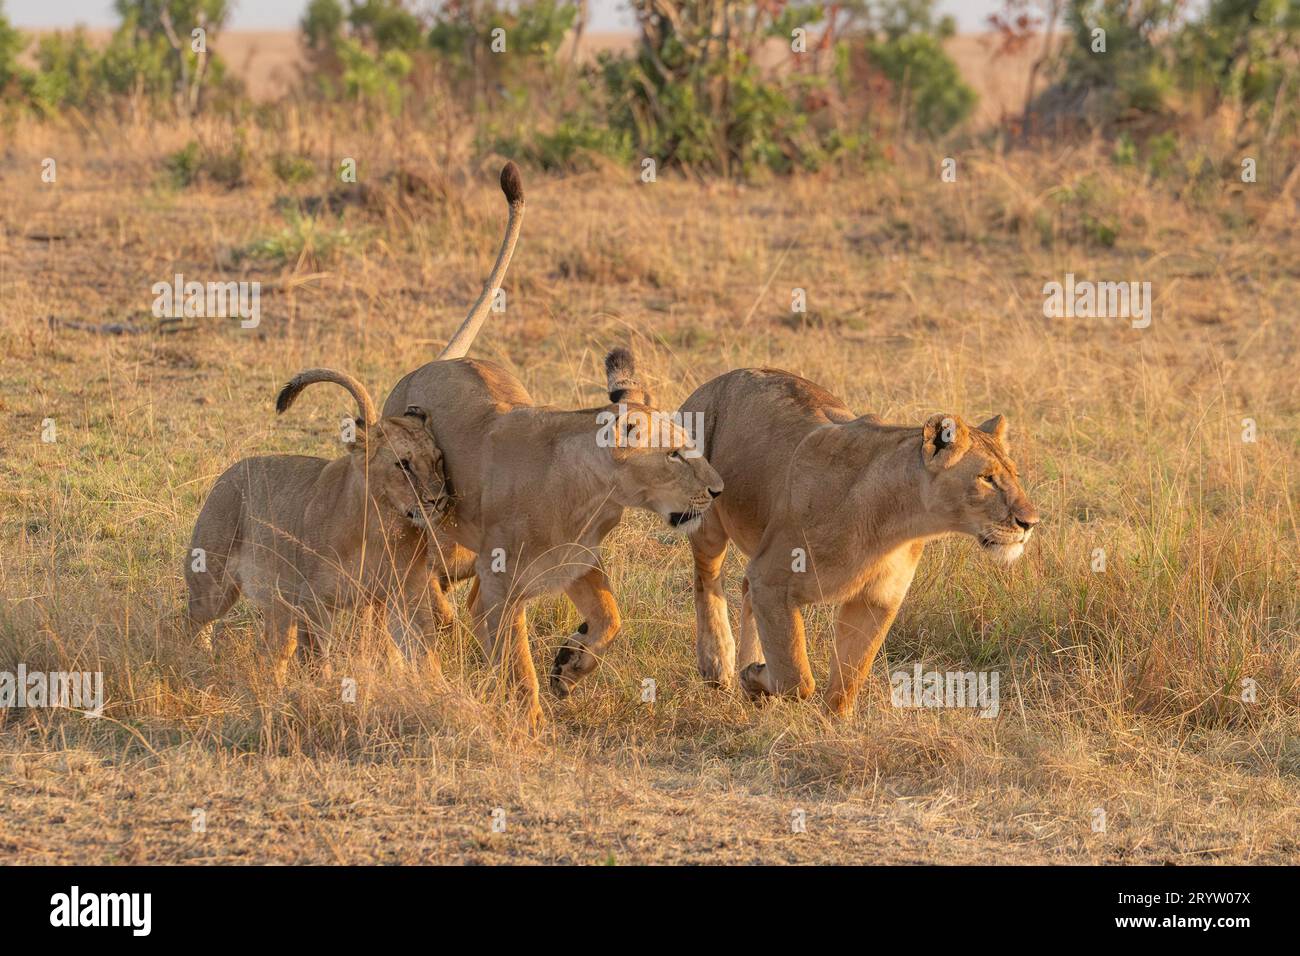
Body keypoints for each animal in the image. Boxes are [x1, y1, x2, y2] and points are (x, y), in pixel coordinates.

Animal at [183, 368, 451, 683]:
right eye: (403, 464)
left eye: (438, 459)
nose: (438, 500)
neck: (380, 525)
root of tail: (228, 473)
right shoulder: (314, 600)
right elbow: (317, 658)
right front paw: (324, 688)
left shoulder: (408, 592)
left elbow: (425, 649)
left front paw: (437, 688)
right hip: (213, 585)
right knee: (193, 620)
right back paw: (192, 659)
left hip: (281, 603)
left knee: (273, 649)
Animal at [381, 164, 723, 730]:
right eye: (675, 455)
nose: (719, 491)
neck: (593, 499)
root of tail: (436, 362)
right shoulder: (504, 586)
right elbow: (519, 665)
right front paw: (534, 725)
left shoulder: (578, 561)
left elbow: (610, 618)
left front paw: (569, 665)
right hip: (434, 525)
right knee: (427, 576)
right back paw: (441, 620)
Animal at [678, 368, 1040, 716]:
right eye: (986, 478)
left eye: (1014, 475)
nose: (1030, 522)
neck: (895, 525)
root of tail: (713, 382)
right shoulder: (772, 580)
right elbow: (797, 676)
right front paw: (755, 677)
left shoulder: (876, 599)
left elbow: (847, 682)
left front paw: (828, 725)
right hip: (705, 515)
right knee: (707, 580)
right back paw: (718, 665)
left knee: (743, 588)